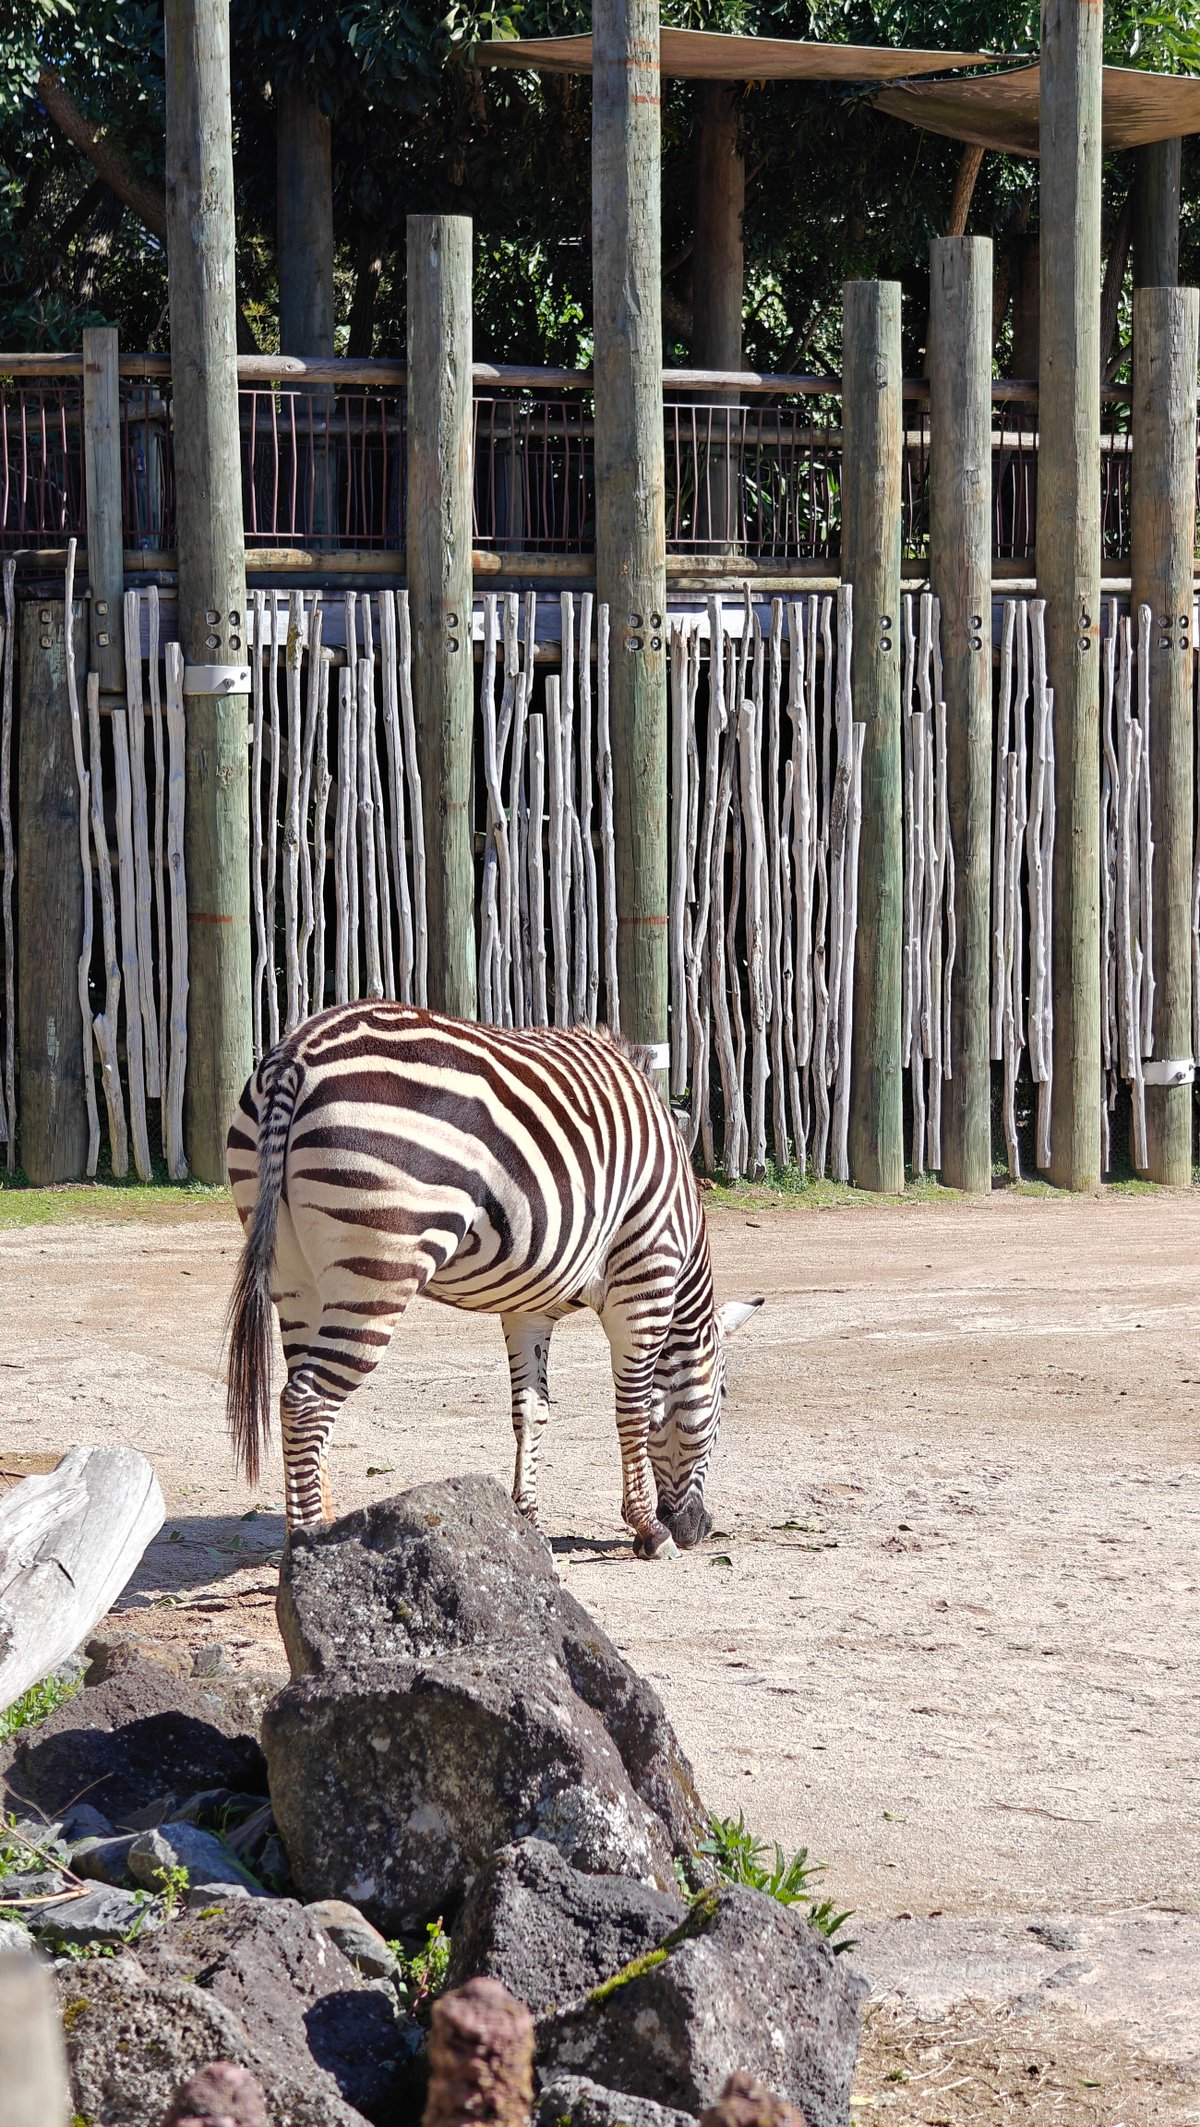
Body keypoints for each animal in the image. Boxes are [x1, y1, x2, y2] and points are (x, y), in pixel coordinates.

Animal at [225, 1002, 761, 1556]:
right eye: (723, 1397)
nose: (699, 1529)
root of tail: (297, 1052)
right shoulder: (644, 1279)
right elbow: (634, 1407)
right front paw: (649, 1529)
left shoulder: (530, 1309)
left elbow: (532, 1411)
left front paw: (528, 1525)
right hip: (377, 1272)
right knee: (306, 1402)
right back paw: (310, 1543)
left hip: (297, 1279)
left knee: (300, 1398)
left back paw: (325, 1537)